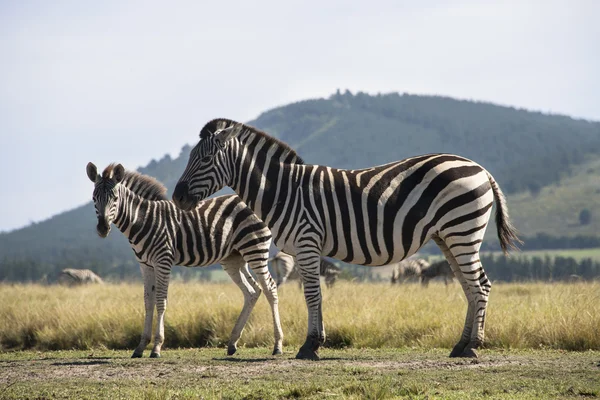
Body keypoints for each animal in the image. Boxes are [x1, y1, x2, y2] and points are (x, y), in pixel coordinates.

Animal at [86, 162, 284, 360]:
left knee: (270, 288)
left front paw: (156, 347)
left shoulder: (163, 261)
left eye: (115, 198)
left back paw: (277, 345)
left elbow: (161, 301)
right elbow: (148, 302)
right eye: (94, 197)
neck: (143, 220)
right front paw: (140, 347)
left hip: (255, 248)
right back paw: (232, 343)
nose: (102, 228)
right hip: (234, 258)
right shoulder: (145, 265)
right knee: (253, 291)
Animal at [170, 118, 520, 360]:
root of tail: (479, 168)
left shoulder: (307, 241)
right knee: (469, 287)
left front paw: (310, 345)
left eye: (204, 160)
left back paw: (473, 347)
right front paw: (316, 342)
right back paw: (460, 345)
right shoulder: (306, 249)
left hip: (462, 230)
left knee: (480, 285)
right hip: (449, 236)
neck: (284, 190)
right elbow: (315, 294)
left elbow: (312, 294)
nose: (177, 197)